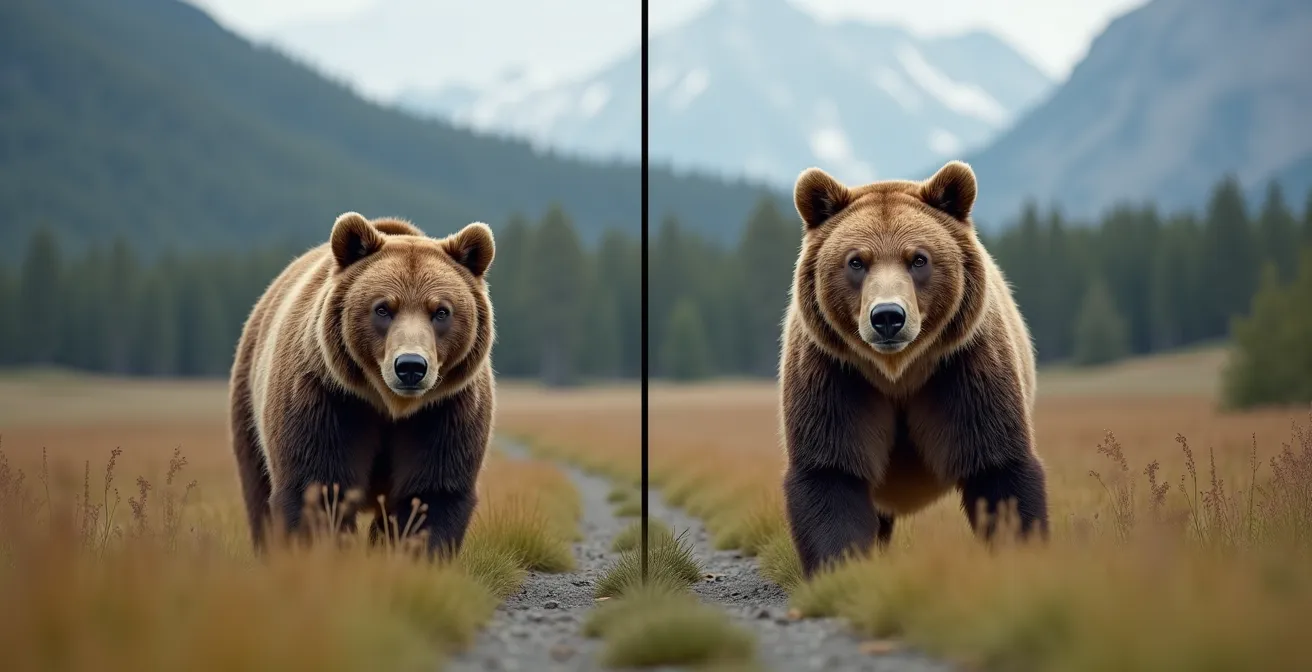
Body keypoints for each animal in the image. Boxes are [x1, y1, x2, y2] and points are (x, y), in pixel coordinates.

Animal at [228, 211, 496, 557]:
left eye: (441, 311)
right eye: (383, 308)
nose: (411, 366)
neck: (389, 405)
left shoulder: (445, 411)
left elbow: (431, 494)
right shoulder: (328, 398)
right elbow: (319, 487)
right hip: (249, 403)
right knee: (258, 491)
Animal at [779, 160, 1049, 577]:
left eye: (918, 258)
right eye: (856, 261)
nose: (888, 316)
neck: (898, 371)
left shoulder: (964, 368)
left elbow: (998, 468)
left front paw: (1019, 555)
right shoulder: (835, 374)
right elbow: (831, 472)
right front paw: (841, 568)